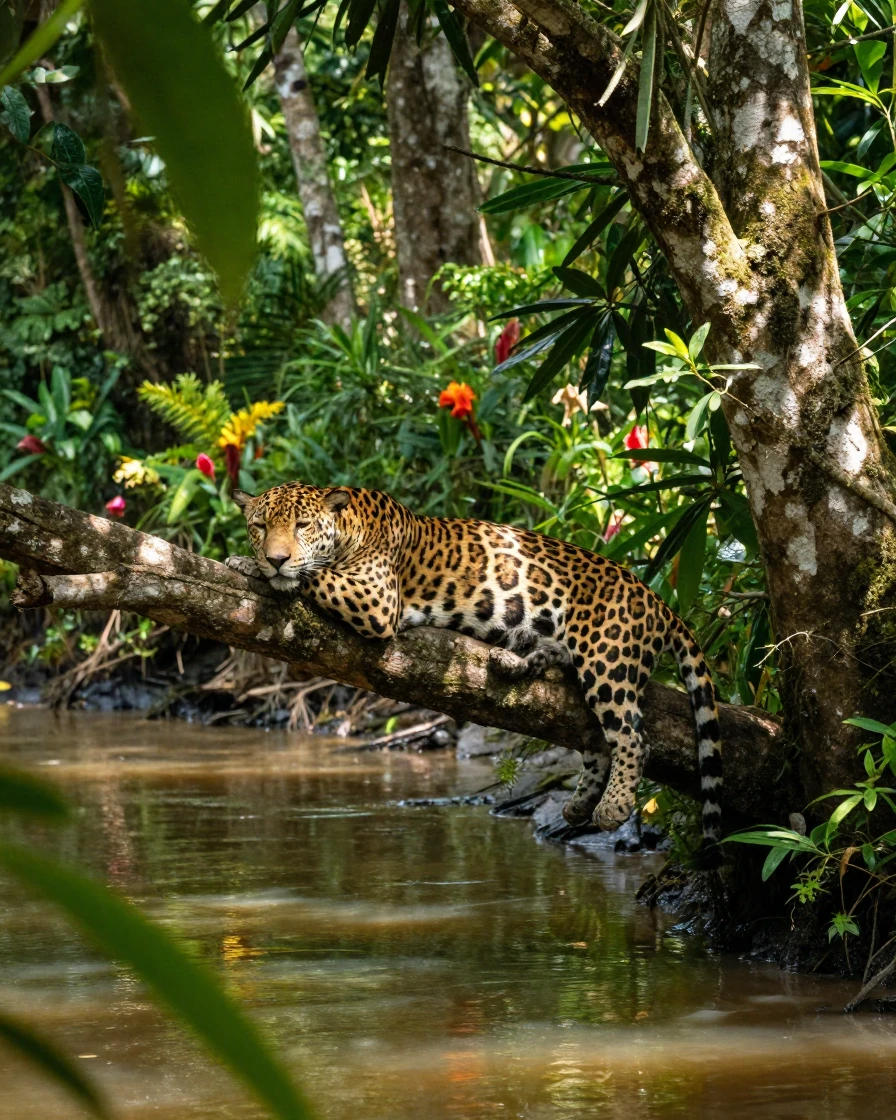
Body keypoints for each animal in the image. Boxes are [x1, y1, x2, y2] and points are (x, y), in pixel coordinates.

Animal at [227, 482, 723, 862]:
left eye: (302, 526)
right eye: (260, 526)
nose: (275, 557)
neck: (351, 525)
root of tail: (657, 600)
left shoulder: (375, 598)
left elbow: (314, 574)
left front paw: (251, 565)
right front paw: (248, 561)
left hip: (607, 657)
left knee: (631, 735)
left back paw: (612, 807)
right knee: (596, 735)